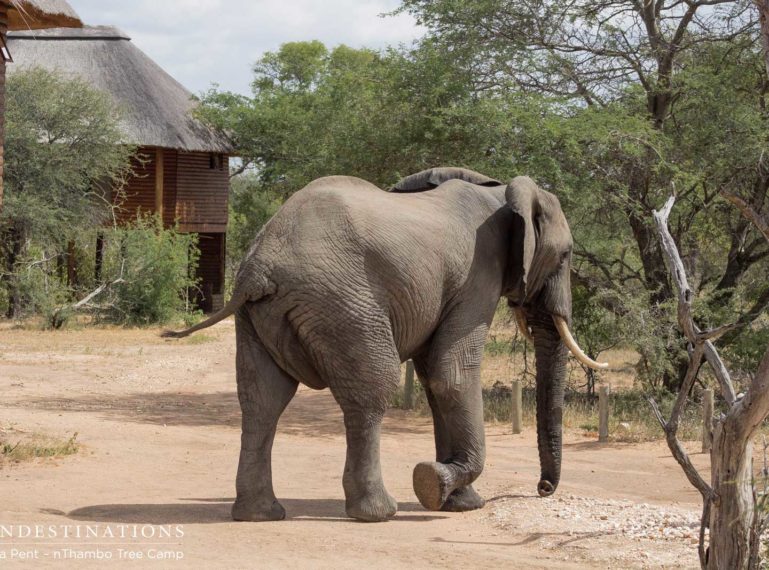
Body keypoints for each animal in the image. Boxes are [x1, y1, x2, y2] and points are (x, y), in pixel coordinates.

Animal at [164, 165, 608, 520]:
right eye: (565, 255)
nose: (543, 489)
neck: (499, 191)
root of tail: (259, 267)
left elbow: (433, 380)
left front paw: (458, 501)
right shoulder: (476, 277)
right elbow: (451, 374)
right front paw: (433, 483)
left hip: (259, 318)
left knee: (262, 400)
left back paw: (260, 514)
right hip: (344, 304)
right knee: (371, 393)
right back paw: (377, 512)